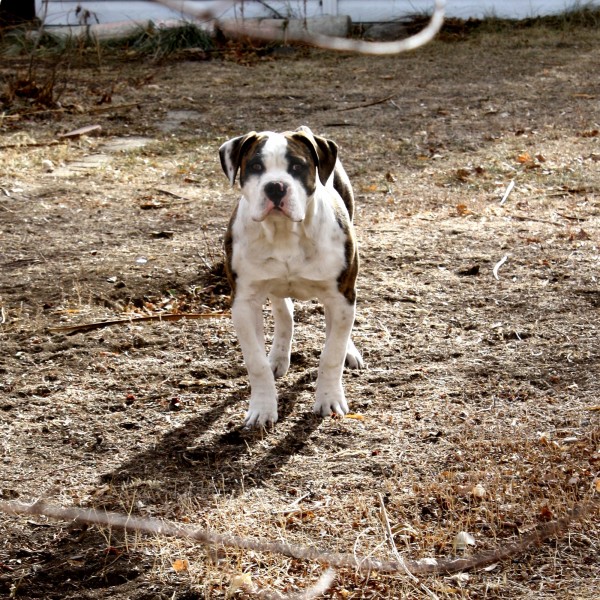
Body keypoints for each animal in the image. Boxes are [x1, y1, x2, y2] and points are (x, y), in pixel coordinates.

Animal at [219, 126, 360, 426]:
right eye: (255, 167)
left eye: (297, 166)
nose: (275, 186)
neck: (284, 232)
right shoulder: (244, 303)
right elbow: (256, 362)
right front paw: (262, 408)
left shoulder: (341, 295)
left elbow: (331, 353)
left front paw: (329, 399)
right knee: (284, 313)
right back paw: (279, 355)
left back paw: (350, 351)